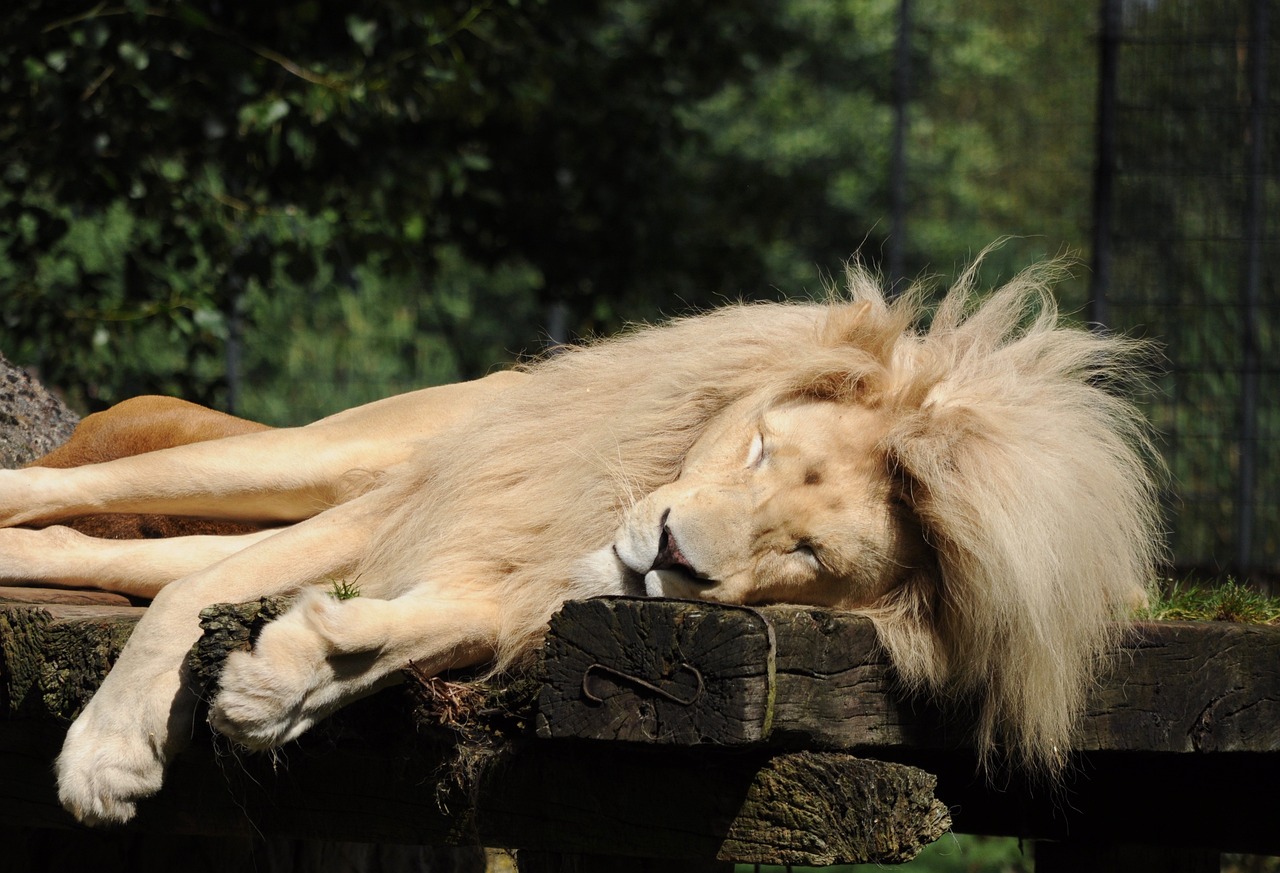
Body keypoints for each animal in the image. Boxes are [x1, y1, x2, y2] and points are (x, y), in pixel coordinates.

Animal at [0, 258, 1162, 824]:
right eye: (759, 449)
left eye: (808, 559)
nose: (672, 552)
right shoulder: (430, 506)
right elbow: (189, 595)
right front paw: (107, 755)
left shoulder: (492, 585)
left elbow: (394, 632)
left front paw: (286, 679)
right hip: (339, 460)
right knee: (88, 497)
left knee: (104, 550)